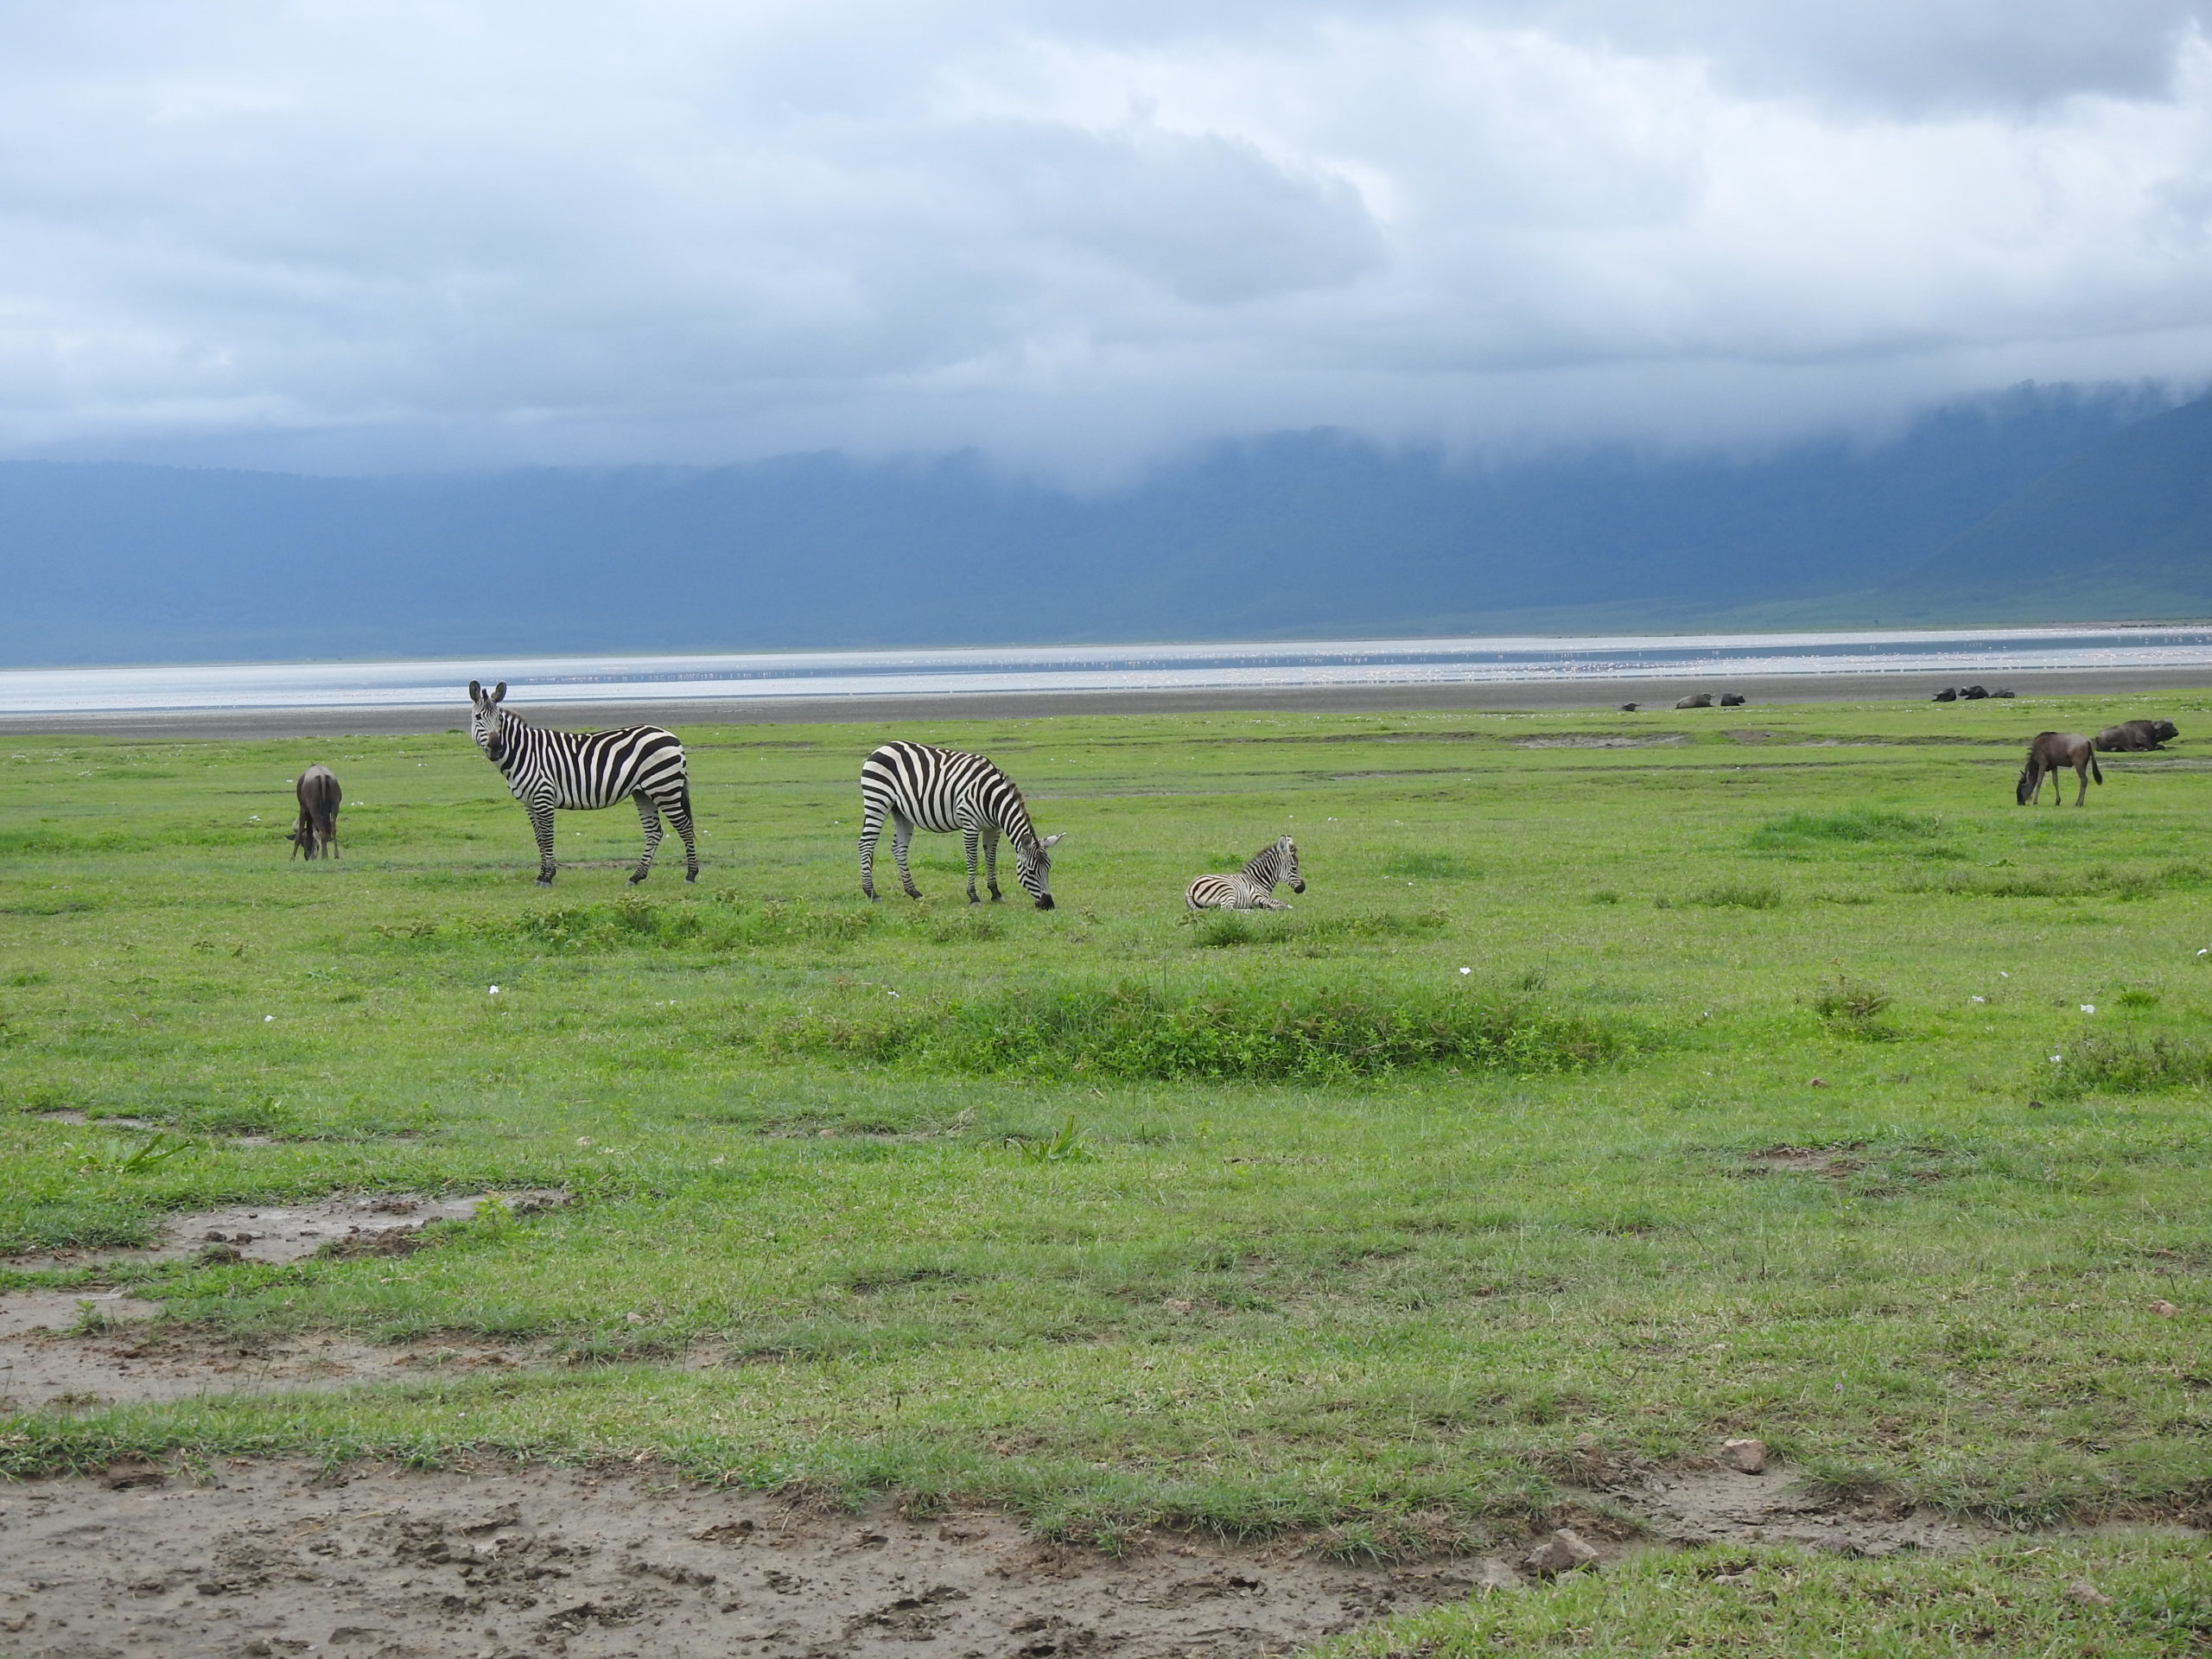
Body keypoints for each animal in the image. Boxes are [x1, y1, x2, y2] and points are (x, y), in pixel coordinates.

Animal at [468, 681, 698, 889]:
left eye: (499, 719)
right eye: (478, 718)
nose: (496, 748)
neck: (524, 752)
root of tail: (672, 737)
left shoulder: (544, 796)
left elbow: (547, 836)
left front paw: (548, 877)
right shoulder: (529, 803)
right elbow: (539, 838)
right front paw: (542, 874)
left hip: (663, 788)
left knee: (685, 827)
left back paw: (691, 874)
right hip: (643, 793)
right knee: (654, 832)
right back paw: (636, 876)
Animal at [854, 747, 1061, 915]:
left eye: (1048, 869)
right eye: (1031, 871)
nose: (1048, 905)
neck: (991, 798)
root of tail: (882, 747)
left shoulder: (993, 827)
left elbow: (991, 858)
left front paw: (995, 893)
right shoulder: (970, 824)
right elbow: (972, 859)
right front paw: (973, 896)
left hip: (901, 812)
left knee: (899, 848)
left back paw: (914, 892)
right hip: (877, 800)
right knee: (866, 844)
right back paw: (871, 893)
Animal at [1185, 836, 1300, 915]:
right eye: (1294, 868)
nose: (1302, 888)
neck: (1259, 880)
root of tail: (1190, 888)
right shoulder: (1256, 896)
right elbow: (1281, 903)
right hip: (1227, 890)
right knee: (1227, 910)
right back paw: (1258, 911)